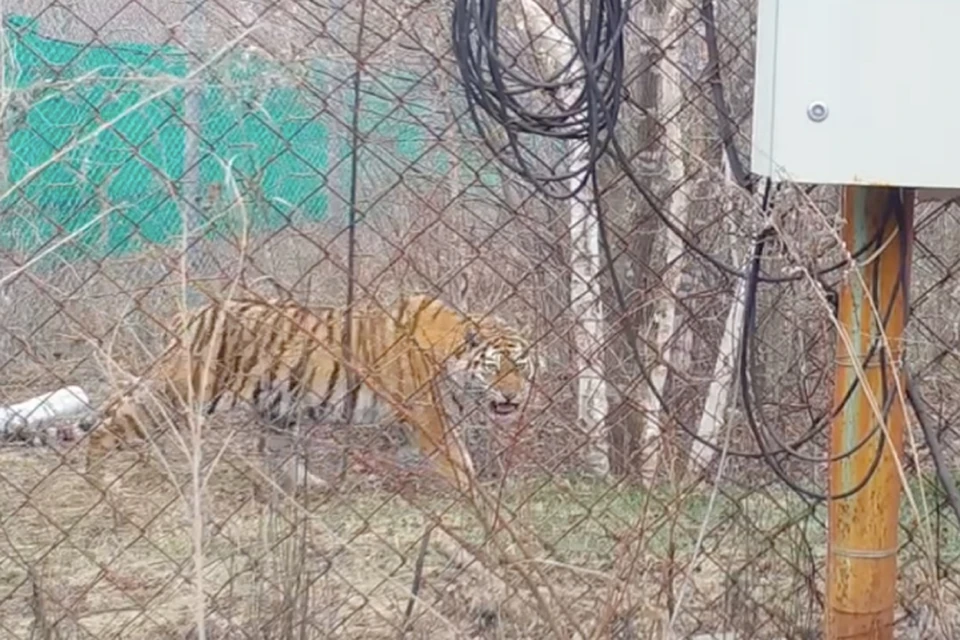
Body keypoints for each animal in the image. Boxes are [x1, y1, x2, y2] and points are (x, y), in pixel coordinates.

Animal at [78, 292, 536, 492]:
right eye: (496, 369)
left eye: (521, 366)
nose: (512, 397)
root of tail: (190, 315)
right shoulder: (429, 419)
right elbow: (460, 462)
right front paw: (481, 498)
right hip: (177, 394)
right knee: (106, 429)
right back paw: (100, 483)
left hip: (278, 407)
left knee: (282, 455)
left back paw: (314, 485)